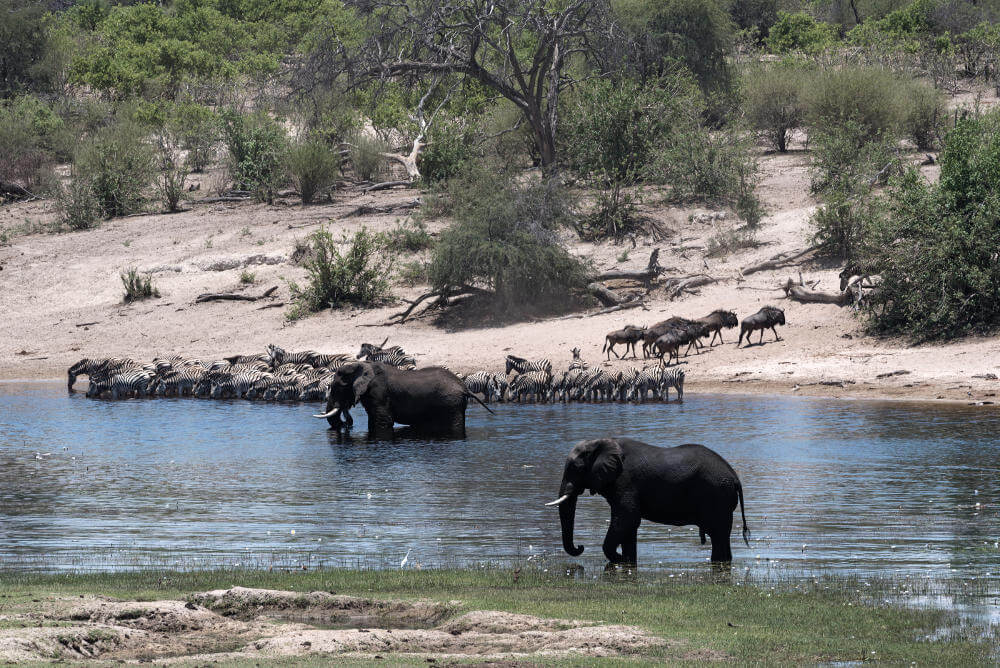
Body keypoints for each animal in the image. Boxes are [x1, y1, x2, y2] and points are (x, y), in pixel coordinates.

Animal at [312, 360, 492, 438]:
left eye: (338, 387)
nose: (346, 425)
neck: (361, 365)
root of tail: (464, 387)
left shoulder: (379, 392)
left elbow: (383, 422)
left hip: (451, 403)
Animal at [548, 438, 752, 564]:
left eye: (575, 468)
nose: (580, 546)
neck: (602, 442)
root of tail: (735, 477)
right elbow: (629, 525)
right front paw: (629, 561)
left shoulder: (625, 480)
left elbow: (627, 519)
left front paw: (621, 560)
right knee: (722, 536)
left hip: (717, 495)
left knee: (717, 535)